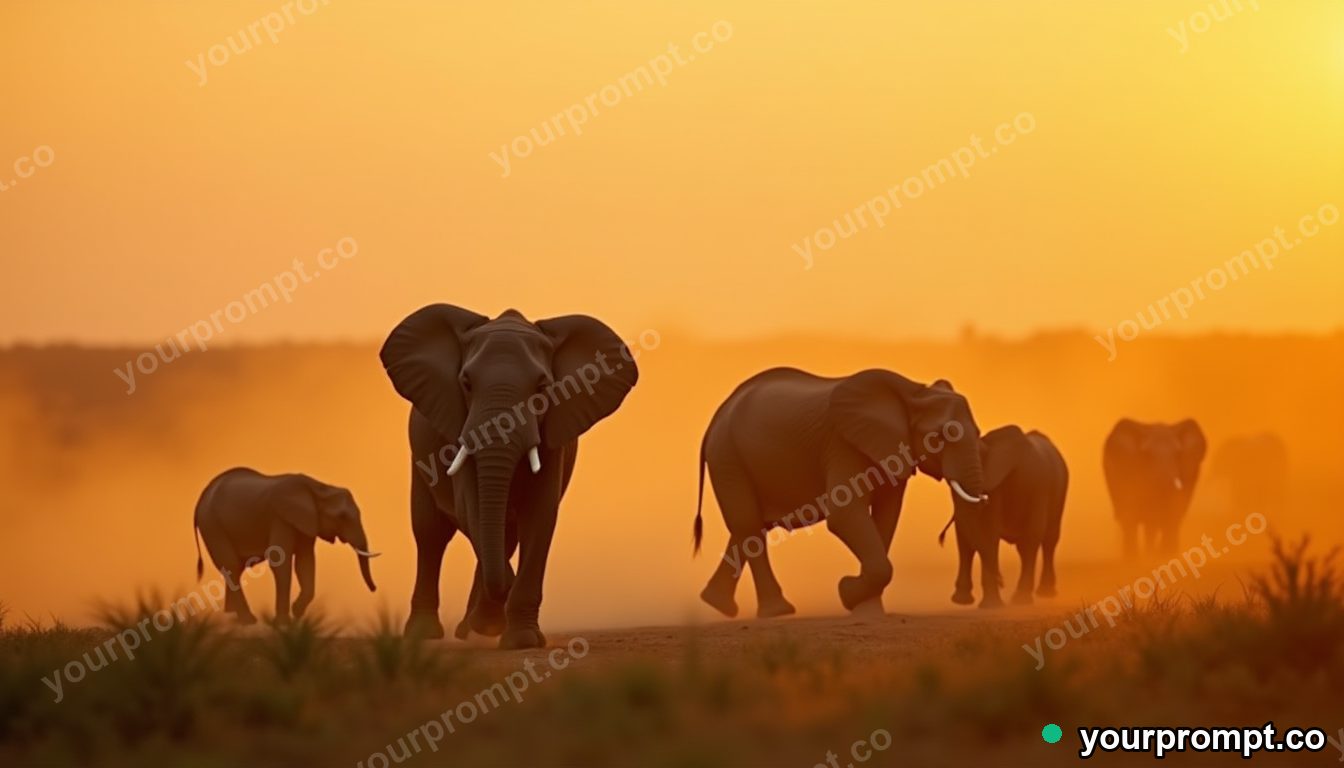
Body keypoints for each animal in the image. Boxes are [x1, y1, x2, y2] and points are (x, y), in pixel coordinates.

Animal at [192, 467, 379, 624]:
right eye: (342, 516)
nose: (374, 589)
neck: (318, 487)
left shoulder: (307, 521)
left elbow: (305, 562)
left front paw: (297, 613)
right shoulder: (280, 517)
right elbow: (280, 561)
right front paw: (284, 622)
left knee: (236, 568)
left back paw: (232, 616)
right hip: (212, 524)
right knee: (230, 565)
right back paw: (247, 620)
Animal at [380, 305, 638, 649]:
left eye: (542, 389)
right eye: (466, 384)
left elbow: (539, 517)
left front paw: (520, 639)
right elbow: (472, 511)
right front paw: (499, 624)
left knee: (503, 533)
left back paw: (470, 629)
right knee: (431, 533)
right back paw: (429, 632)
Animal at [693, 368, 994, 615]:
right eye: (941, 437)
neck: (912, 392)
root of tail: (714, 420)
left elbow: (886, 518)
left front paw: (866, 608)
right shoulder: (843, 445)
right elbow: (845, 516)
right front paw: (846, 591)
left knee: (748, 527)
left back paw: (717, 604)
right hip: (728, 456)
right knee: (749, 526)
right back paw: (777, 612)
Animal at [946, 426, 1068, 607]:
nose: (1002, 581)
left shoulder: (1031, 485)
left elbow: (991, 534)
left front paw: (1000, 604)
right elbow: (966, 538)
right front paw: (961, 601)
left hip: (1059, 491)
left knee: (1046, 540)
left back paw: (1039, 595)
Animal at [1102, 419, 1206, 558]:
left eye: (1178, 454)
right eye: (1146, 455)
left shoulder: (1191, 472)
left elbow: (1174, 515)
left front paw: (1164, 556)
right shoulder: (1124, 473)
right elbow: (1129, 516)